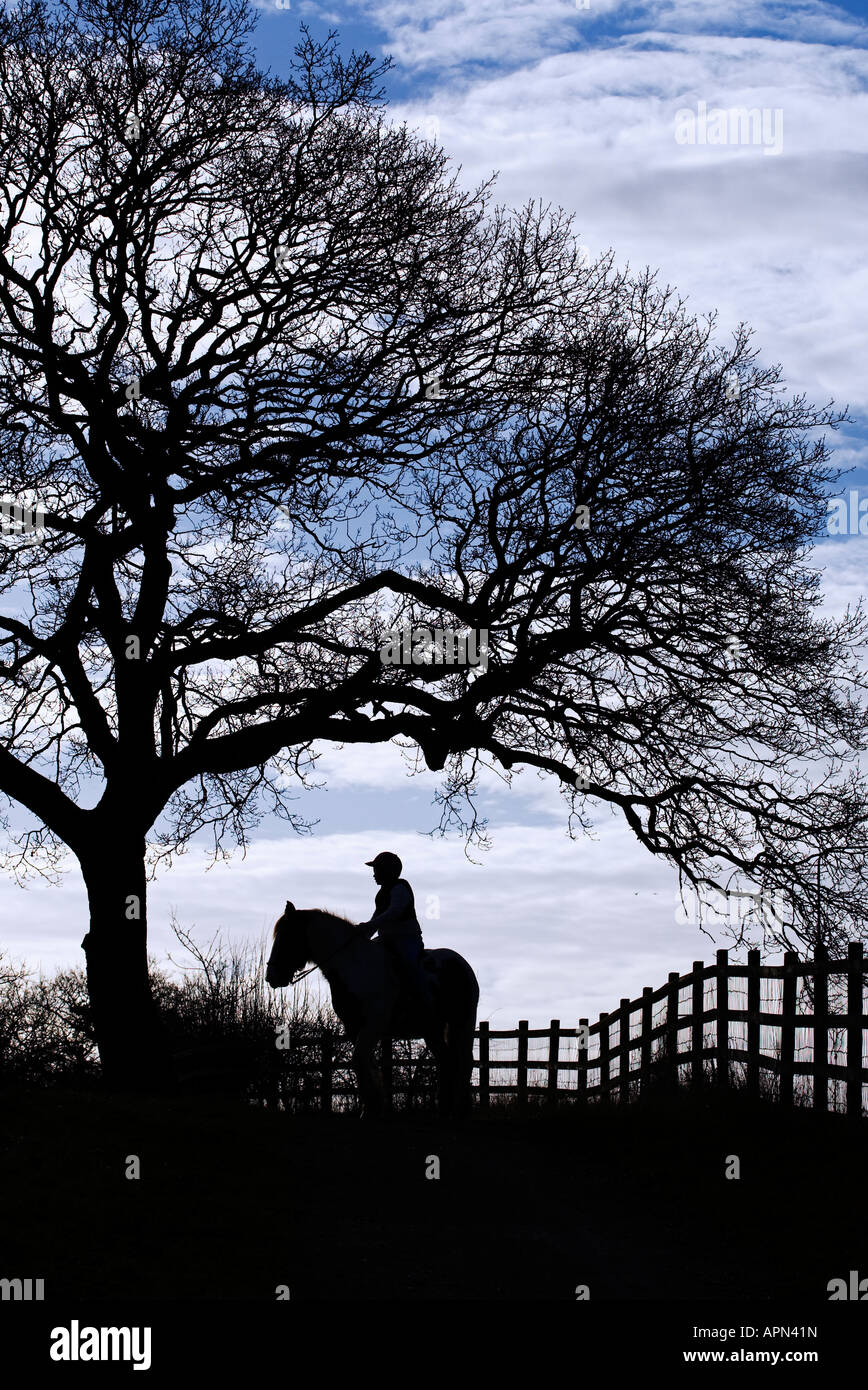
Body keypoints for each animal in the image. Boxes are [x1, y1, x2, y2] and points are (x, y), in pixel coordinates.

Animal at [265, 900, 481, 1117]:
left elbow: (360, 1060)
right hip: (432, 1029)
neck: (354, 965)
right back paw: (445, 1108)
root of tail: (462, 964)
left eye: (287, 935)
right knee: (447, 1061)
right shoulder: (354, 1028)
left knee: (464, 1062)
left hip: (463, 1024)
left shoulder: (373, 1025)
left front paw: (371, 1108)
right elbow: (365, 1063)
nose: (271, 976)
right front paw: (371, 1107)